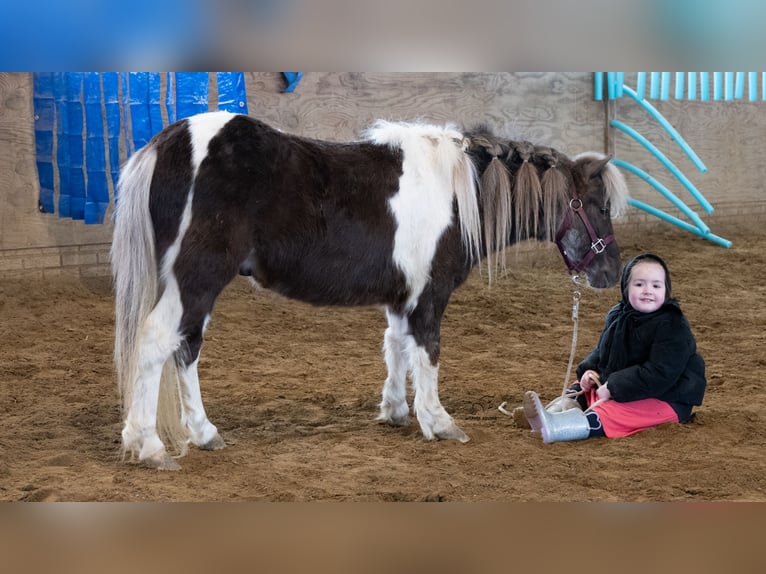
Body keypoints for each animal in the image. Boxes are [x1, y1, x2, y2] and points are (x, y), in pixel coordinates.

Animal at [111, 111, 629, 469]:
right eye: (598, 206)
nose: (611, 273)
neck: (457, 194)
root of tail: (166, 143)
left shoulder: (402, 296)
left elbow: (395, 346)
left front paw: (395, 410)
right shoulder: (429, 295)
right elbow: (428, 352)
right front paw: (439, 422)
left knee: (186, 347)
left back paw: (202, 433)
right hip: (195, 277)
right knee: (158, 343)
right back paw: (149, 445)